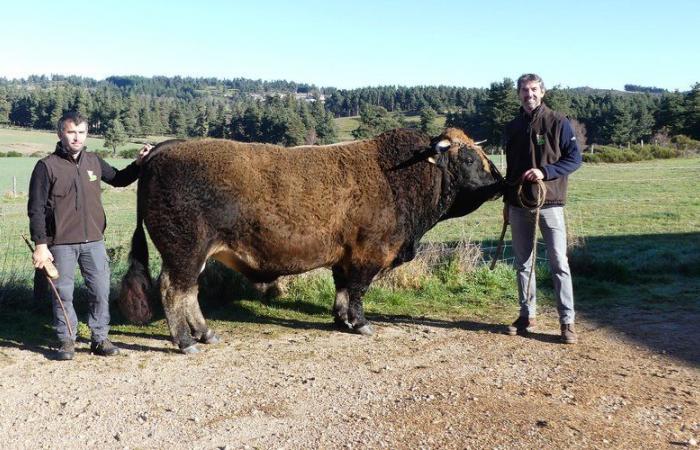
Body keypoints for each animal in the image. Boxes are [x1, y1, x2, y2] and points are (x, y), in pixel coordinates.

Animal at [120, 126, 504, 352]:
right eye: (468, 158)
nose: (498, 183)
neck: (398, 175)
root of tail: (164, 148)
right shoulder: (367, 254)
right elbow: (358, 291)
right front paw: (360, 324)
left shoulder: (344, 256)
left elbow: (343, 289)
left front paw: (341, 319)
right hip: (185, 252)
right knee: (174, 291)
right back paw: (186, 341)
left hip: (193, 256)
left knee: (189, 294)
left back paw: (205, 333)